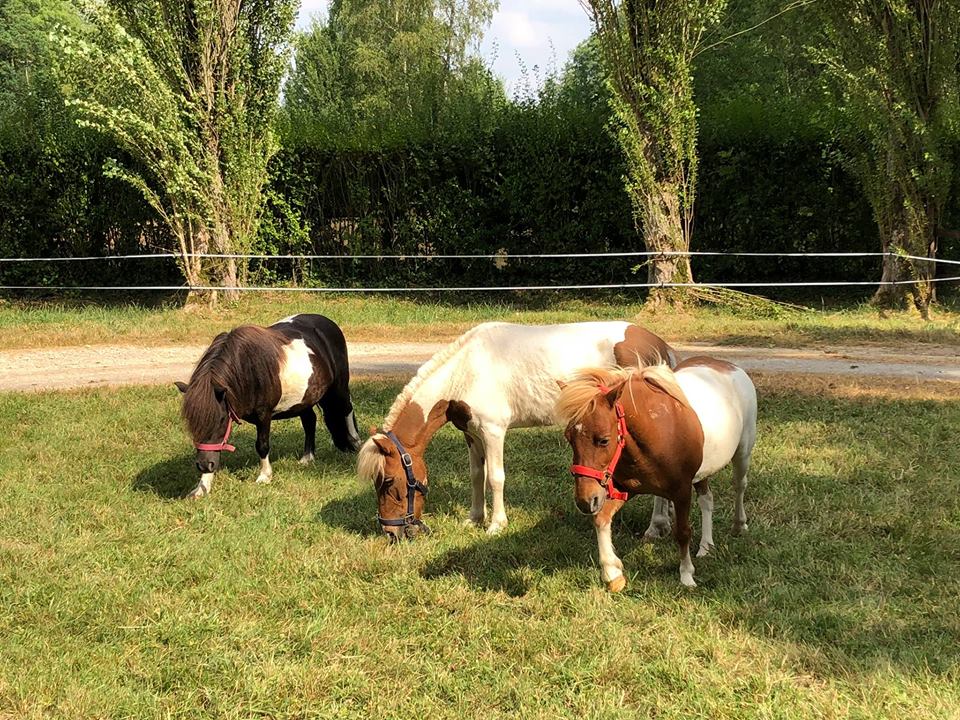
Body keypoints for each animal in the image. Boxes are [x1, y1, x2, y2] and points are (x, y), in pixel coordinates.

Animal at [176, 312, 364, 498]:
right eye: (193, 423)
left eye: (221, 419)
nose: (203, 465)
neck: (247, 370)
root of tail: (328, 324)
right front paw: (202, 487)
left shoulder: (263, 415)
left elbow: (262, 444)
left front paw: (265, 476)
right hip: (304, 399)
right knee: (310, 421)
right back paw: (307, 457)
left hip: (338, 387)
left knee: (347, 410)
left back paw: (356, 444)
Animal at [354, 320, 676, 540]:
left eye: (389, 483)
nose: (391, 533)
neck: (465, 372)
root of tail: (661, 347)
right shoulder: (472, 435)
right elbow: (477, 476)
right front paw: (474, 518)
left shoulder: (494, 431)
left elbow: (495, 478)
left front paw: (497, 524)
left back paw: (655, 528)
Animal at [556, 358, 756, 592]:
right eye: (569, 438)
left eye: (603, 440)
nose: (585, 500)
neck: (656, 428)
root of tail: (732, 367)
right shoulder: (625, 489)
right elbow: (601, 520)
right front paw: (612, 573)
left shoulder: (681, 491)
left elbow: (683, 532)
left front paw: (686, 575)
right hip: (702, 472)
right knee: (707, 499)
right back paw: (706, 546)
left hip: (742, 453)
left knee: (739, 485)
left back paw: (739, 525)